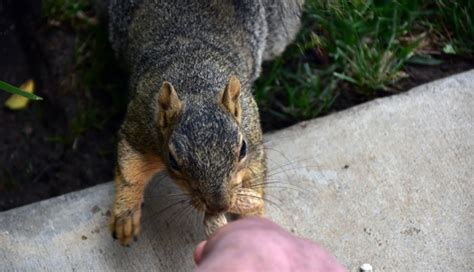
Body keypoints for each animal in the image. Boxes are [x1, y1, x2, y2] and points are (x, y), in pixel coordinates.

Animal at [103, 0, 304, 245]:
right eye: (173, 160)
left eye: (242, 149)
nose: (219, 205)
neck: (195, 83)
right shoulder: (141, 126)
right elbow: (130, 170)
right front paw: (125, 217)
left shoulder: (251, 130)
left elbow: (255, 172)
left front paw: (254, 215)